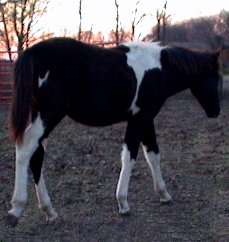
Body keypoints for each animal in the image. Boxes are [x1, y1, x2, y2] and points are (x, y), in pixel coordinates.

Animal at [8, 36, 221, 226]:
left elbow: (153, 155)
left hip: (42, 118)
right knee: (25, 149)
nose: (216, 112)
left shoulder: (145, 119)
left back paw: (49, 211)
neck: (157, 69)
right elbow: (130, 157)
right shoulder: (139, 120)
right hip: (48, 116)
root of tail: (31, 52)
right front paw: (123, 202)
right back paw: (16, 208)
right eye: (216, 77)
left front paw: (164, 194)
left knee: (36, 156)